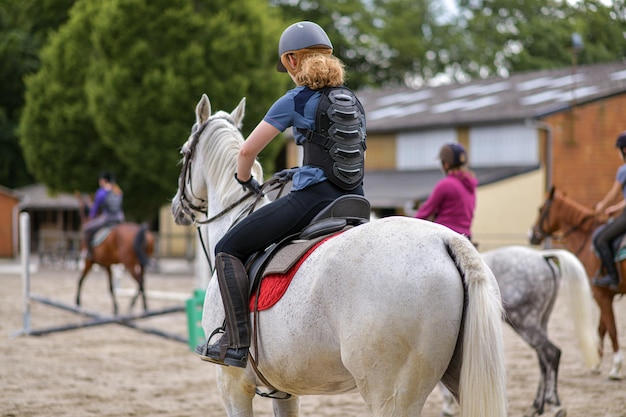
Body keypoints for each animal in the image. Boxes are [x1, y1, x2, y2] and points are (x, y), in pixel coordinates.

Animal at [171, 94, 508, 416]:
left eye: (184, 153)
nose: (176, 208)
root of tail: (445, 240)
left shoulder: (232, 384)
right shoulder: (285, 389)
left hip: (390, 395)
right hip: (463, 380)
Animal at [528, 187, 620, 378]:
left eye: (540, 209)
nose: (532, 235)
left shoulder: (600, 293)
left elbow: (611, 328)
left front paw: (615, 367)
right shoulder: (604, 295)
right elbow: (603, 327)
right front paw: (597, 362)